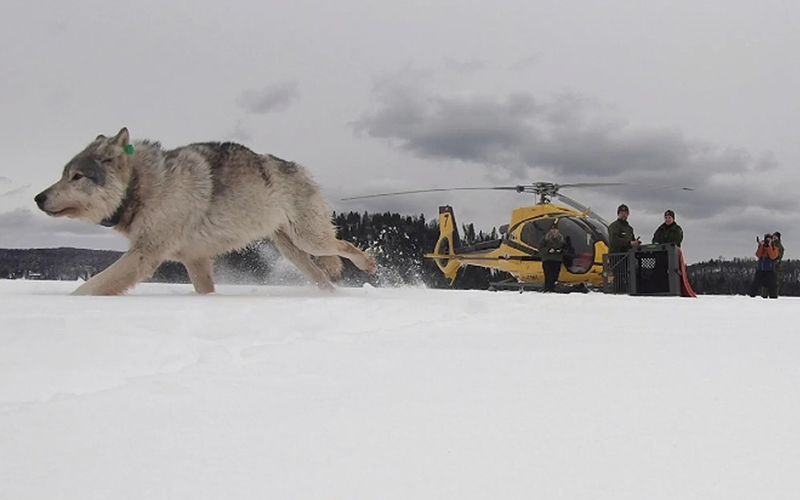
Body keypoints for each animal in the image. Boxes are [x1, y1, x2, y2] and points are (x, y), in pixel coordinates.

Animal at [34, 127, 376, 295]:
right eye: (63, 174)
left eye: (77, 176)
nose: (38, 197)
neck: (143, 186)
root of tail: (301, 168)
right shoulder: (195, 259)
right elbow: (204, 291)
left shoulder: (144, 254)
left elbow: (89, 288)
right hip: (292, 252)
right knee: (323, 277)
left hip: (310, 240)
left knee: (344, 246)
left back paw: (369, 264)